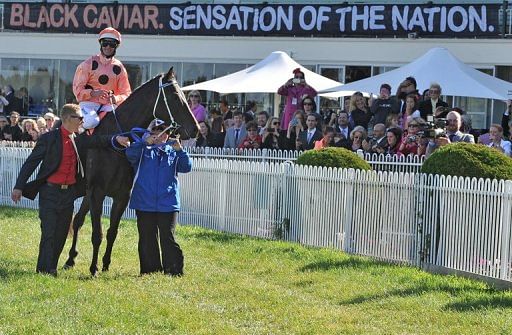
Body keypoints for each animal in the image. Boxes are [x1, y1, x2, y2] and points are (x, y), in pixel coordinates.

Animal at [63, 68, 198, 276]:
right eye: (175, 96)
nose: (196, 129)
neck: (115, 142)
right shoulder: (97, 192)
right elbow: (97, 233)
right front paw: (93, 268)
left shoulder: (122, 195)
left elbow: (112, 232)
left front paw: (105, 264)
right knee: (77, 220)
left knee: (78, 220)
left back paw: (71, 259)